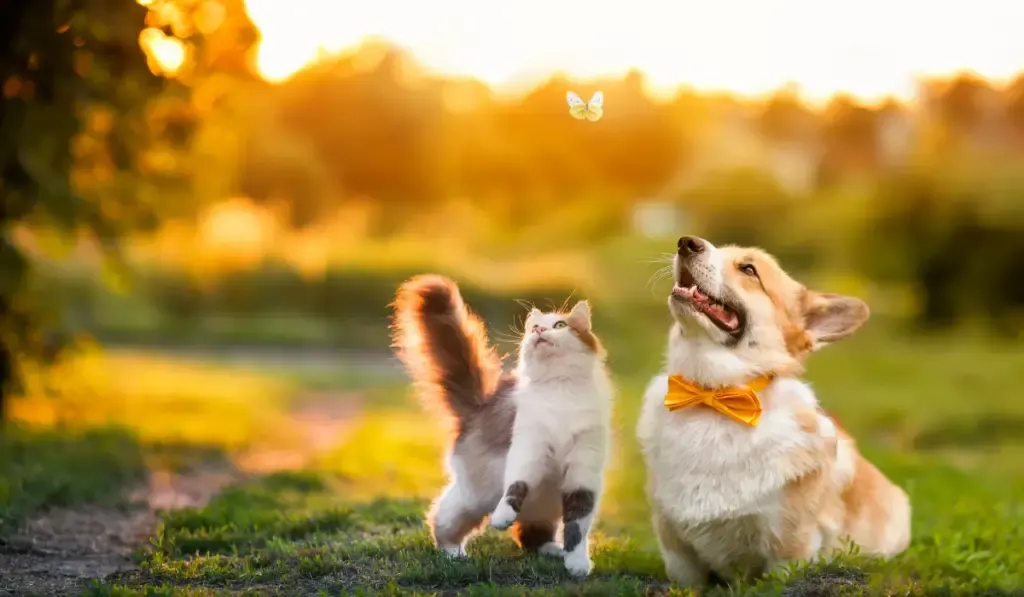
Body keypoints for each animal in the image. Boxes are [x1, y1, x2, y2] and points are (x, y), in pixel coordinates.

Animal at [389, 276, 610, 577]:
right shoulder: (528, 448)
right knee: (442, 519)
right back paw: (453, 553)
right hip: (475, 497)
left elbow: (578, 524)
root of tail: (480, 406)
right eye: (533, 328)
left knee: (531, 535)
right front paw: (502, 517)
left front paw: (576, 563)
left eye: (560, 325)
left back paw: (551, 549)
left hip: (545, 503)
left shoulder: (583, 471)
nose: (539, 329)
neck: (560, 390)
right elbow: (515, 487)